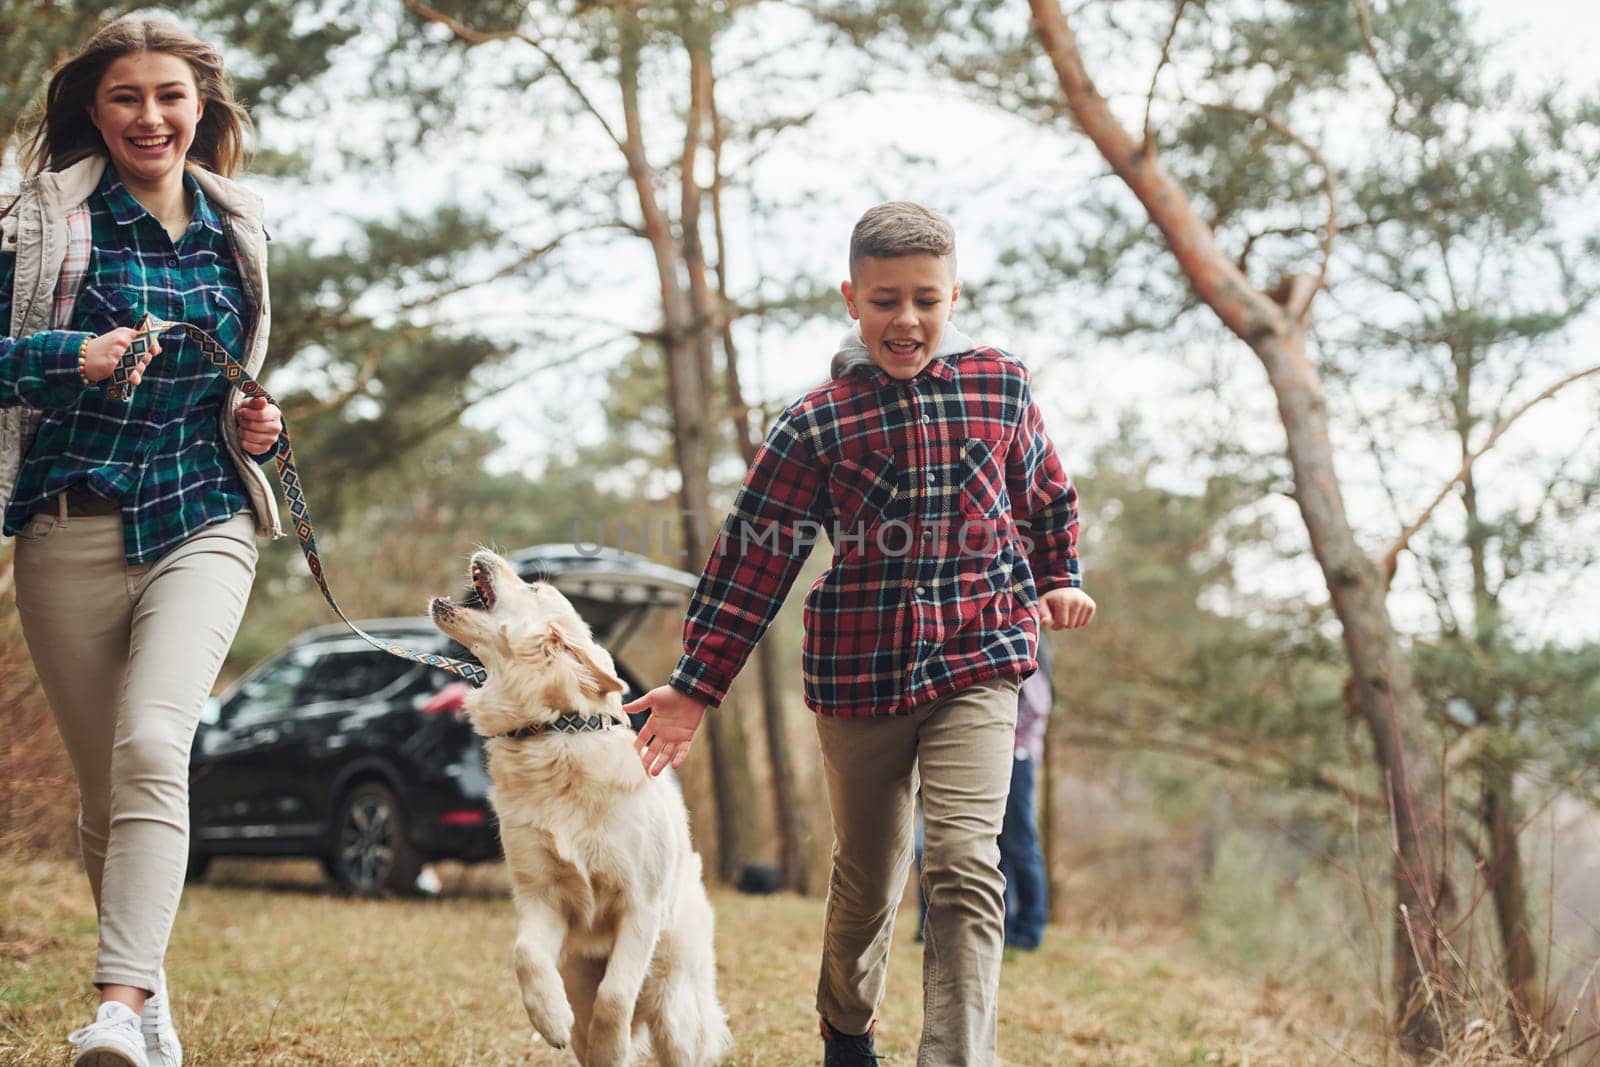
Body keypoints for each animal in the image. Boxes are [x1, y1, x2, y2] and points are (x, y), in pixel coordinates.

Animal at [425, 550, 726, 1067]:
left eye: (536, 589)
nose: (484, 555)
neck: (555, 732)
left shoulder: (639, 907)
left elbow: (616, 996)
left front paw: (613, 1042)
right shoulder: (541, 899)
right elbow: (525, 957)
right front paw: (550, 1019)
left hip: (675, 1011)